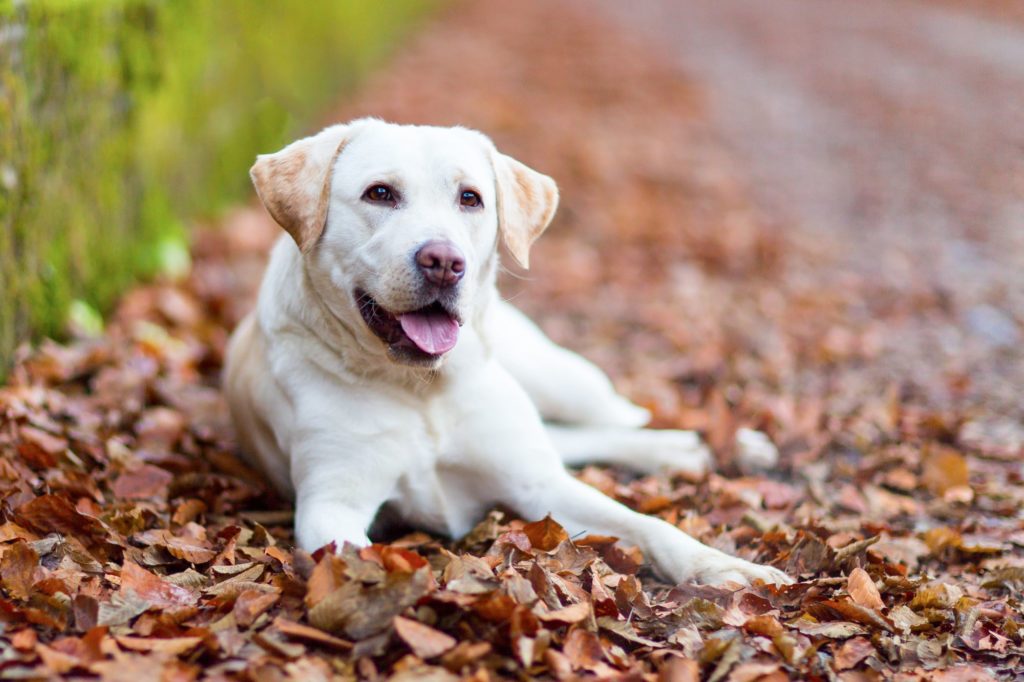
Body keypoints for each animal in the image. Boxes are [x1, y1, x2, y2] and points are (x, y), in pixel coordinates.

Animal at [224, 118, 790, 585]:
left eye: (470, 198)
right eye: (379, 193)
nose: (444, 262)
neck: (422, 389)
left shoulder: (540, 486)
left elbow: (647, 524)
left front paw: (725, 567)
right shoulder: (331, 505)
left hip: (560, 379)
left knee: (621, 416)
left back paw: (720, 443)